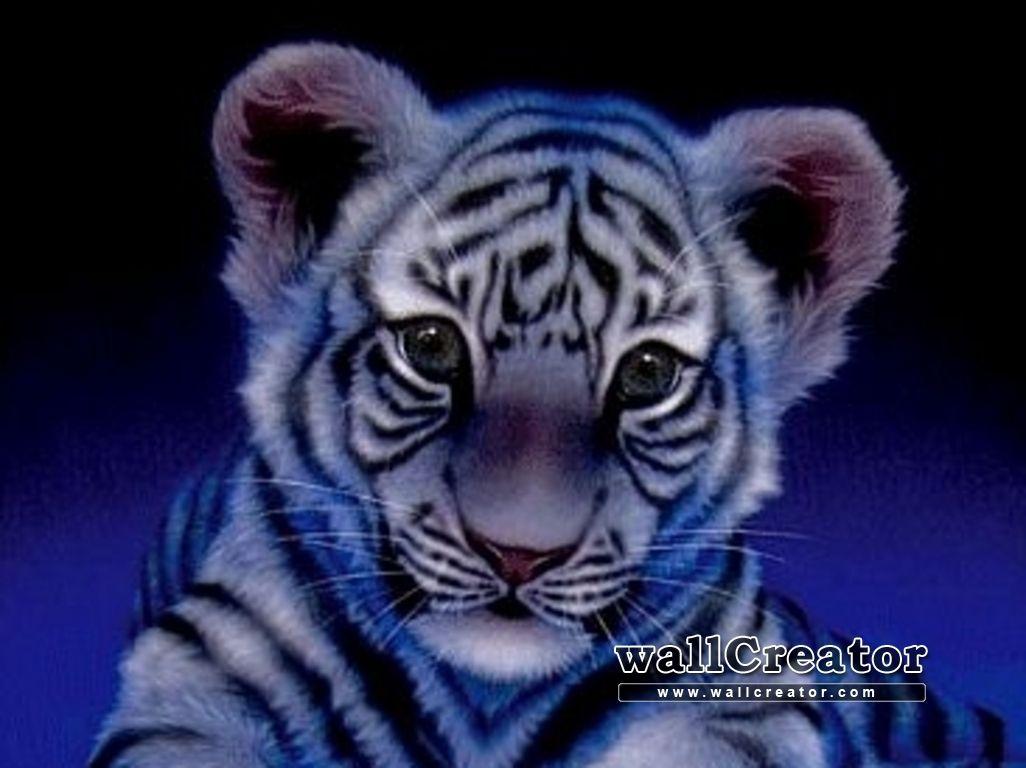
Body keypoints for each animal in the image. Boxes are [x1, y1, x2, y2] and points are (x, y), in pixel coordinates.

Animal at [91, 42, 1018, 767]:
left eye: (648, 372)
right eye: (432, 346)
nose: (518, 554)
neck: (483, 706)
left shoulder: (741, 692)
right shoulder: (201, 669)